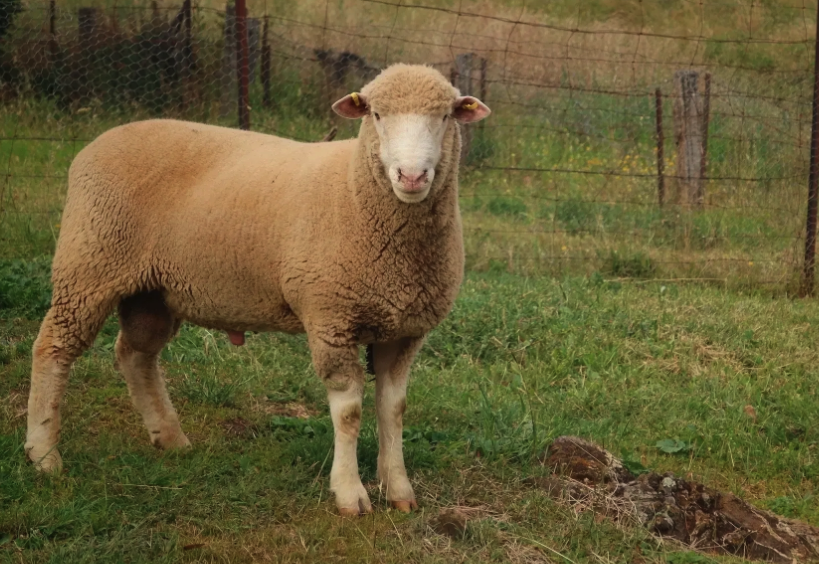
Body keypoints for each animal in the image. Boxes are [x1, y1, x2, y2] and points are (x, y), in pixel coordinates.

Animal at [24, 61, 486, 516]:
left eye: (446, 116)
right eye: (375, 114)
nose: (412, 175)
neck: (355, 192)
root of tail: (95, 144)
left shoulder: (405, 330)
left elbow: (394, 409)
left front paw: (399, 488)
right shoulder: (330, 318)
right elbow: (349, 412)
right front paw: (349, 493)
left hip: (151, 291)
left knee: (135, 355)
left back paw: (169, 437)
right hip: (89, 265)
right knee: (53, 348)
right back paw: (44, 454)